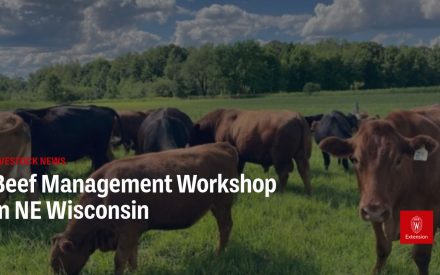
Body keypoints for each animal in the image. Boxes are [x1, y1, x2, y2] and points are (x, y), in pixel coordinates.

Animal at [49, 142, 239, 275]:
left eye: (58, 262)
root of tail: (220, 145)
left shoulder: (128, 231)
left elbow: (120, 259)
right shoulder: (132, 233)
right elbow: (132, 256)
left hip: (222, 204)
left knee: (225, 228)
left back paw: (218, 255)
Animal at [320, 104, 440, 274]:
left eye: (398, 160)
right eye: (354, 159)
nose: (374, 209)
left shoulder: (432, 211)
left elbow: (421, 256)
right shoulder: (373, 210)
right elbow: (382, 248)